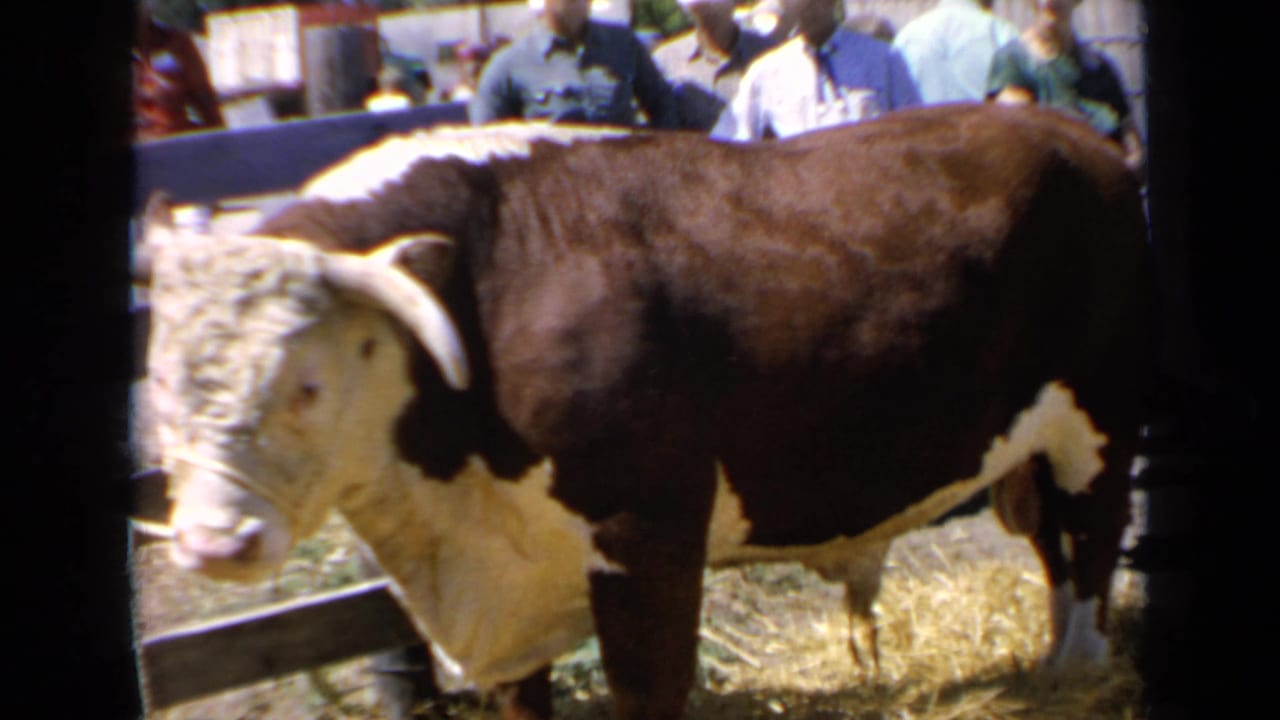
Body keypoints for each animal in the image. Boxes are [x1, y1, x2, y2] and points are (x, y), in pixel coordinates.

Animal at [138, 104, 1152, 720]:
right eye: (159, 388)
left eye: (304, 386)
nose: (214, 545)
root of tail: (1077, 135)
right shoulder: (505, 585)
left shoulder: (648, 533)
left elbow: (649, 684)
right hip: (1032, 446)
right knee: (1053, 547)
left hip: (1100, 420)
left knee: (1095, 541)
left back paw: (1077, 667)